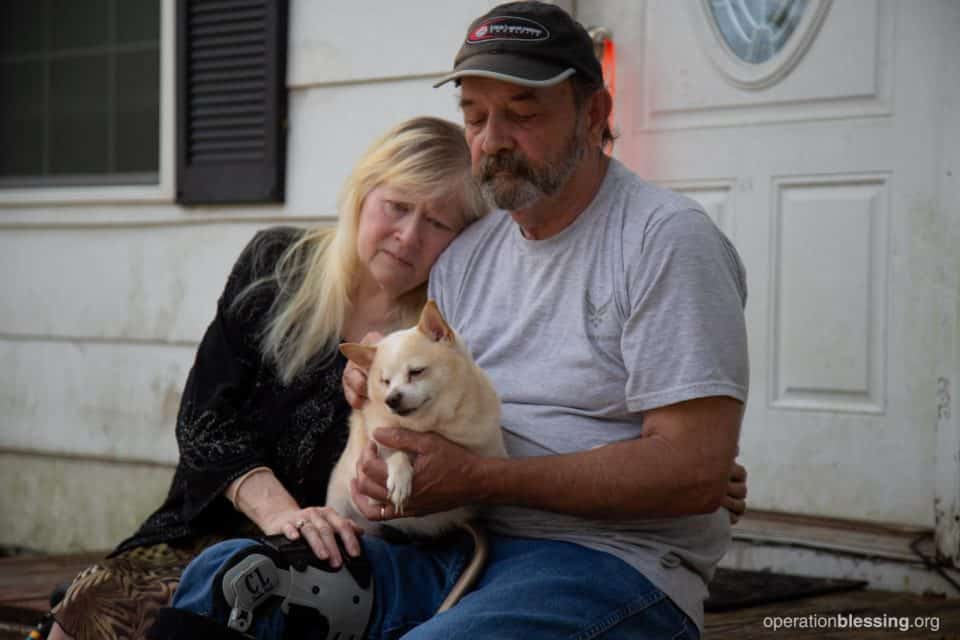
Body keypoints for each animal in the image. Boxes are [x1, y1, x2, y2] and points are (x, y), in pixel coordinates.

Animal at [326, 300, 506, 540]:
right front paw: (399, 476)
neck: (430, 425)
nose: (391, 399)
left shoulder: (487, 450)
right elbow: (395, 450)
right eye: (385, 382)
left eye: (416, 372)